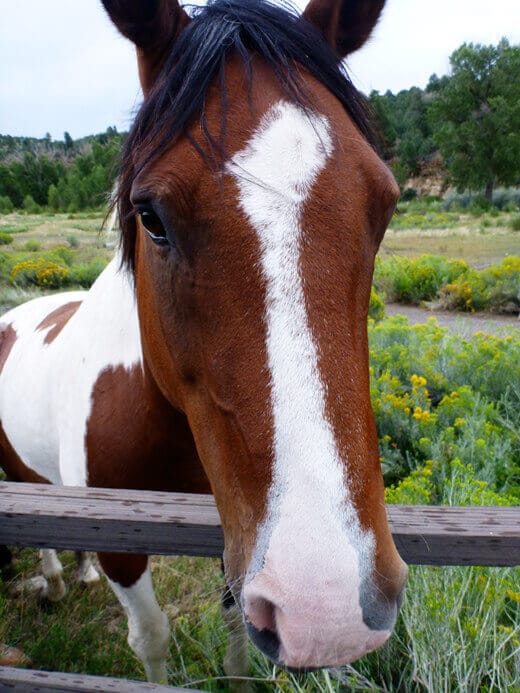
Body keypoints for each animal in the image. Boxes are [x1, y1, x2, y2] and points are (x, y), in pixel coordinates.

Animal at [0, 0, 407, 683]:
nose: (325, 609)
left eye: (384, 204)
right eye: (151, 216)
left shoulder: (231, 540)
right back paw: (55, 581)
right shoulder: (126, 548)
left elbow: (237, 635)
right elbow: (151, 639)